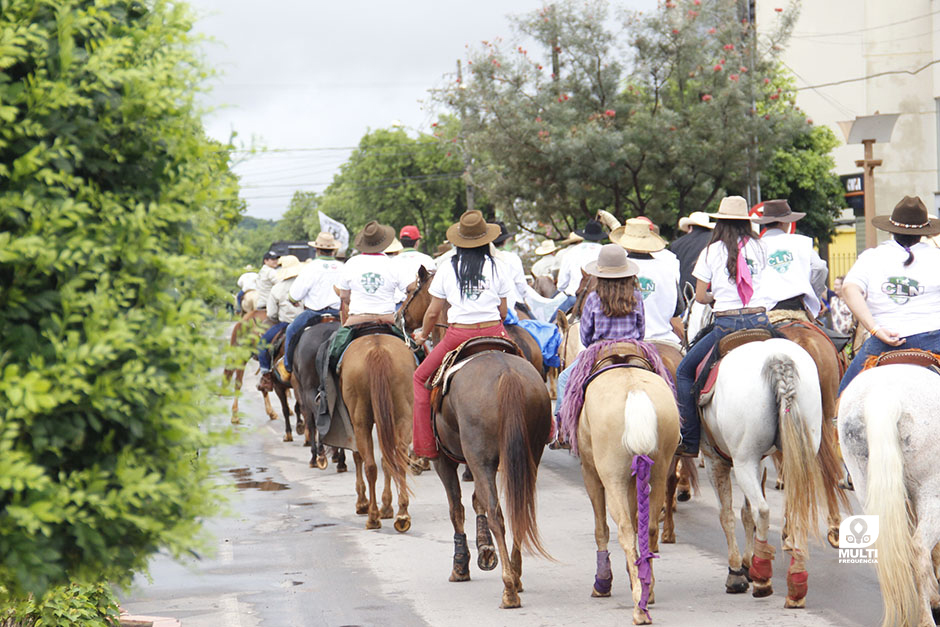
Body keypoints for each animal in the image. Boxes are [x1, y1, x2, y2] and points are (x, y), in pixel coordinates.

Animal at [336, 336, 414, 532]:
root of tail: (378, 350)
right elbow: (387, 462)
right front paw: (386, 506)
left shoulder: (353, 421)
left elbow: (358, 455)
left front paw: (363, 503)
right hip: (403, 416)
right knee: (399, 460)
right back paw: (402, 514)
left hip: (360, 421)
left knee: (370, 465)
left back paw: (372, 516)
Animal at [436, 348, 556, 608]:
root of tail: (507, 373)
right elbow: (475, 499)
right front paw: (485, 548)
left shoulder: (443, 459)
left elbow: (456, 508)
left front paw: (460, 566)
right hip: (530, 455)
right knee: (519, 511)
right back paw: (516, 577)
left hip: (480, 458)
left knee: (497, 514)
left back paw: (509, 589)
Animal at [568, 346, 680, 624]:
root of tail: (634, 392)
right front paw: (635, 576)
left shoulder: (590, 473)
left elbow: (601, 529)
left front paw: (603, 582)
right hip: (657, 471)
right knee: (649, 528)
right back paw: (646, 590)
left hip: (613, 478)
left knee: (626, 531)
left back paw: (639, 607)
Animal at [696, 338, 824, 608]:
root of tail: (777, 359)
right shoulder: (761, 463)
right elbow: (745, 514)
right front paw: (746, 564)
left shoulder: (715, 461)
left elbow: (727, 514)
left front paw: (737, 571)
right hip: (796, 455)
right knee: (796, 513)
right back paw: (796, 583)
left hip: (743, 461)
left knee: (763, 510)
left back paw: (763, 577)